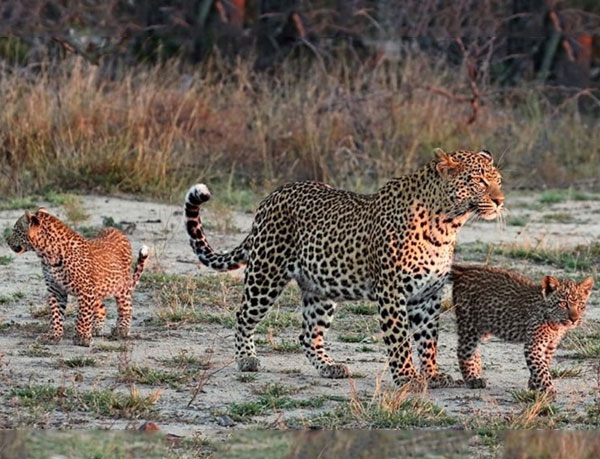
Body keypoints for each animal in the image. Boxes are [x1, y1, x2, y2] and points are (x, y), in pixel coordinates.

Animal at [6, 208, 150, 344]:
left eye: (15, 230)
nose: (7, 241)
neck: (47, 255)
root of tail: (117, 230)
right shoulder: (56, 289)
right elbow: (56, 314)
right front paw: (54, 336)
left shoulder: (85, 289)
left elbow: (83, 315)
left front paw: (82, 338)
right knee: (102, 307)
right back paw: (96, 328)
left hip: (121, 286)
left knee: (126, 306)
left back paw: (121, 329)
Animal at [185, 149, 504, 386]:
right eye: (478, 181)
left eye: (498, 180)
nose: (500, 201)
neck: (447, 224)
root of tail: (272, 196)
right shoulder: (392, 292)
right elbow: (400, 339)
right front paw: (407, 378)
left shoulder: (428, 295)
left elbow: (428, 339)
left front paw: (433, 374)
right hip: (266, 274)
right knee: (243, 315)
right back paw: (246, 359)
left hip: (321, 288)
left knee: (308, 334)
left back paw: (329, 367)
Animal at [452, 266, 592, 396]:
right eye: (563, 304)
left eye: (581, 305)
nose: (574, 319)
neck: (556, 325)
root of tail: (464, 271)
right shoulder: (533, 345)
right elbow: (541, 369)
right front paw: (548, 390)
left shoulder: (550, 346)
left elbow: (544, 364)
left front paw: (533, 384)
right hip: (469, 325)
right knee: (464, 350)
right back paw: (473, 378)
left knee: (473, 349)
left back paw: (477, 370)